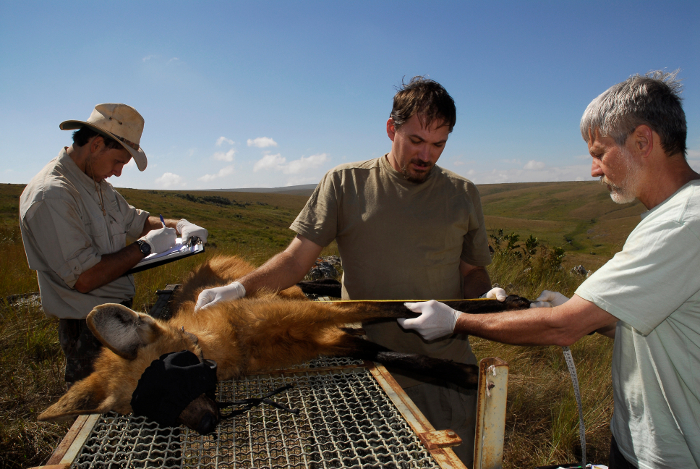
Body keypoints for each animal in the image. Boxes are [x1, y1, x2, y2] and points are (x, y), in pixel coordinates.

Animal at [37, 254, 532, 434]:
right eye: (148, 409)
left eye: (168, 377)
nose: (207, 426)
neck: (239, 338)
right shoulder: (324, 339)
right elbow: (394, 354)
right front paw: (465, 374)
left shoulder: (319, 320)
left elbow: (399, 308)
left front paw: (499, 304)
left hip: (299, 295)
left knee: (326, 285)